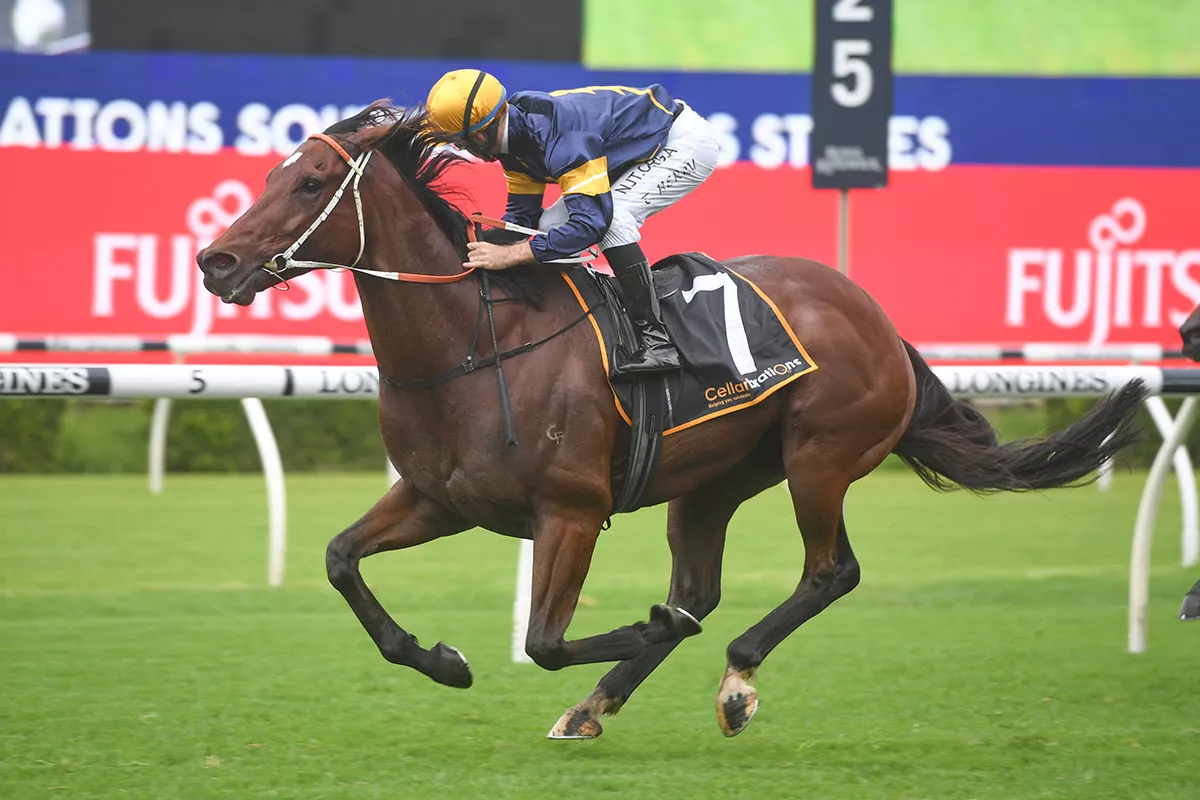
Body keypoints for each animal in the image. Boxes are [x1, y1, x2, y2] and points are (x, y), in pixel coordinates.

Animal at [196, 103, 1142, 743]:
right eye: (272, 177)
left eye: (310, 183)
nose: (215, 260)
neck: (475, 344)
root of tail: (873, 315)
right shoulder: (441, 498)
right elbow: (340, 560)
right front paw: (443, 660)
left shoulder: (570, 510)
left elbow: (545, 639)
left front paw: (637, 631)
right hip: (713, 482)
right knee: (701, 588)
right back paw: (598, 702)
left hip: (821, 454)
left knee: (829, 573)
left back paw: (733, 677)